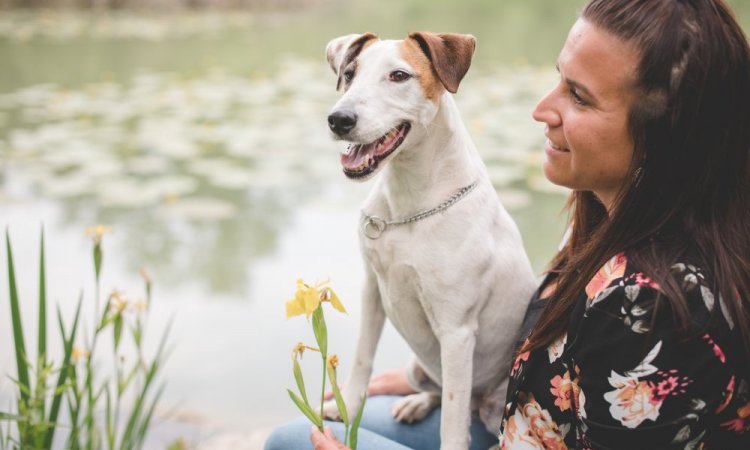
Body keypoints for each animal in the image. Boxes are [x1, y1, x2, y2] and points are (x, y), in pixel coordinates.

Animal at [326, 32, 536, 450]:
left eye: (399, 75)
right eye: (350, 73)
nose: (339, 120)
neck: (409, 203)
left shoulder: (456, 331)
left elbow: (453, 417)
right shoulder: (373, 290)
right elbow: (362, 358)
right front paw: (347, 407)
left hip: (492, 400)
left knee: (466, 407)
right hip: (418, 366)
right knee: (436, 390)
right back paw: (416, 403)